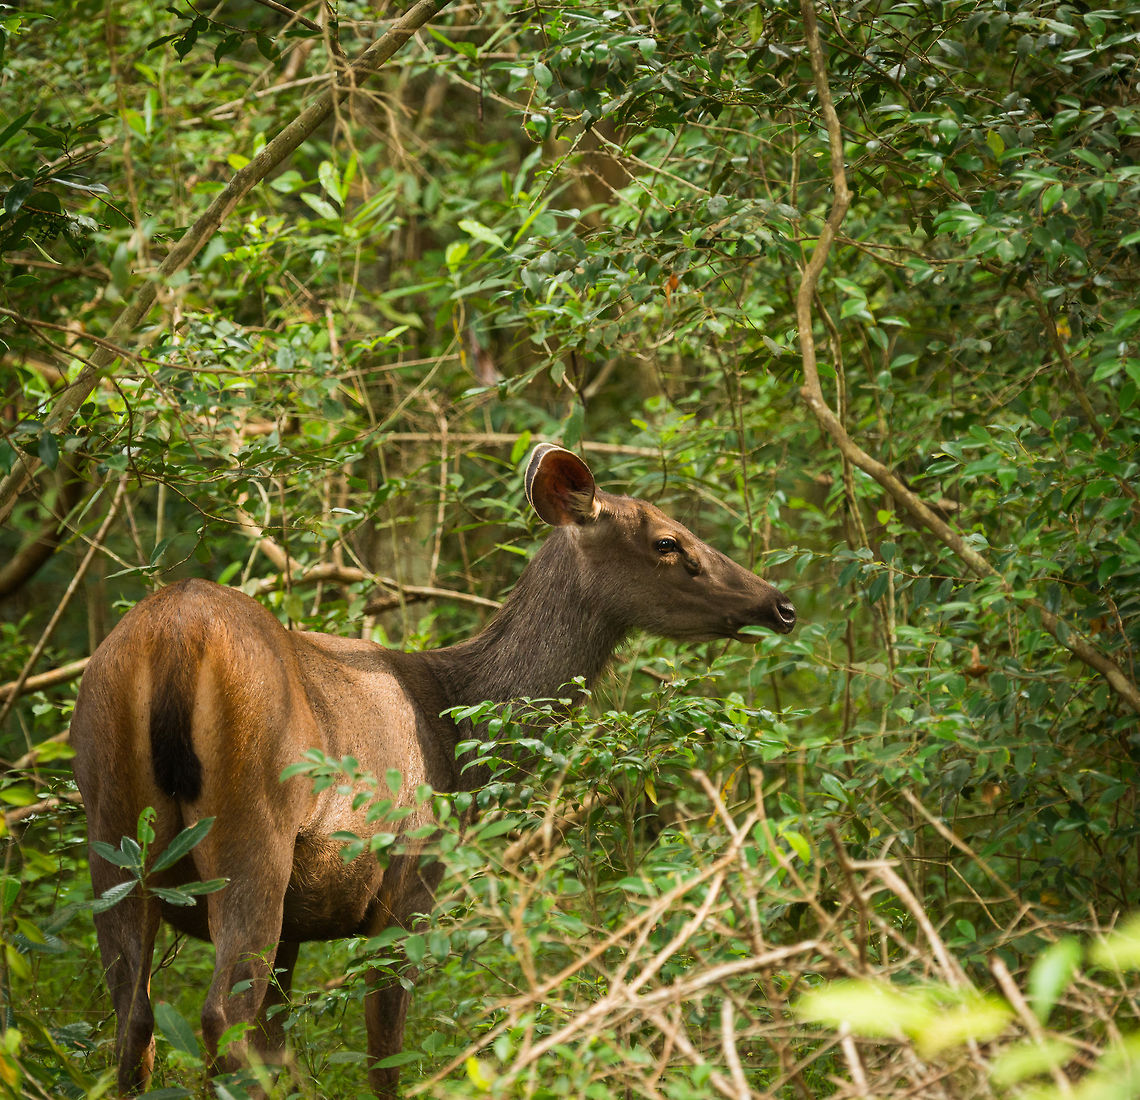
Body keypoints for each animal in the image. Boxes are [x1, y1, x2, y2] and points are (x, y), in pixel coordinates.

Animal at [70, 443, 796, 1097]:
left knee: (135, 1020)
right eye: (668, 542)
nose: (780, 604)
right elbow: (385, 1049)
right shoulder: (412, 876)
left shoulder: (302, 923)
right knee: (225, 1016)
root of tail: (176, 635)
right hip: (254, 821)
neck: (458, 737)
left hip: (111, 820)